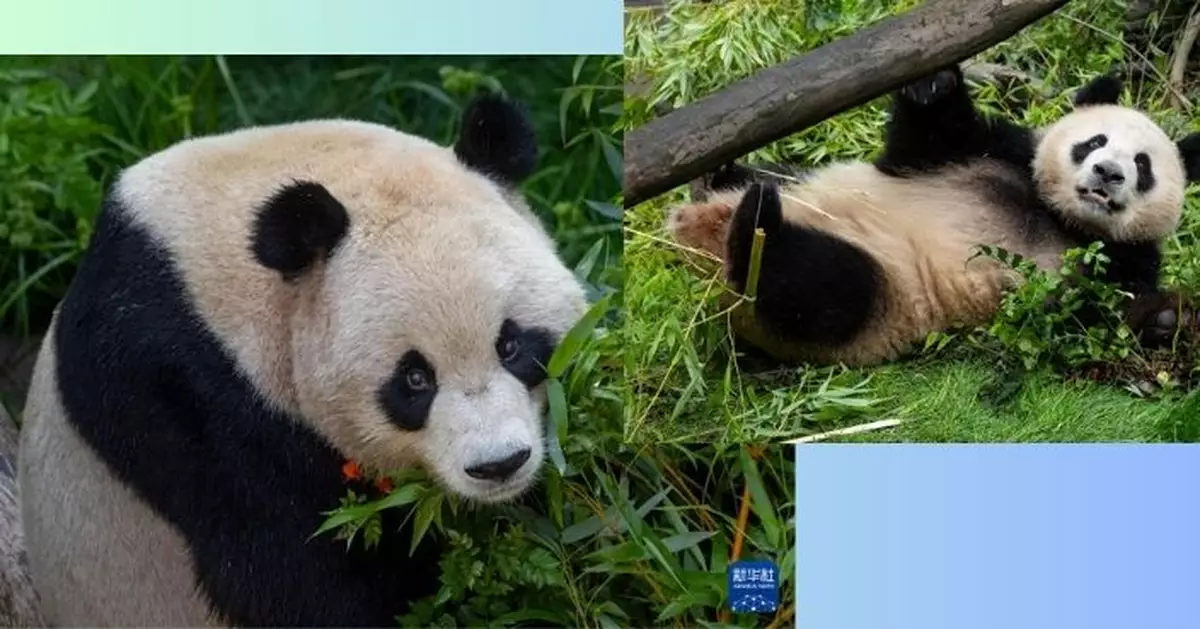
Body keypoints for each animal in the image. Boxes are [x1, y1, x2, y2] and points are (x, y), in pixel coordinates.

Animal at [667, 66, 1200, 364]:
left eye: (1143, 166)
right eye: (1094, 142)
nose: (1108, 172)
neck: (1059, 216)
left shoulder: (1123, 260)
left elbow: (1083, 319)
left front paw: (1163, 316)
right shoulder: (991, 152)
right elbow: (927, 138)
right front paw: (932, 81)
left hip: (882, 299)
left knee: (820, 287)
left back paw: (754, 231)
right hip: (802, 185)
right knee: (774, 183)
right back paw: (720, 182)